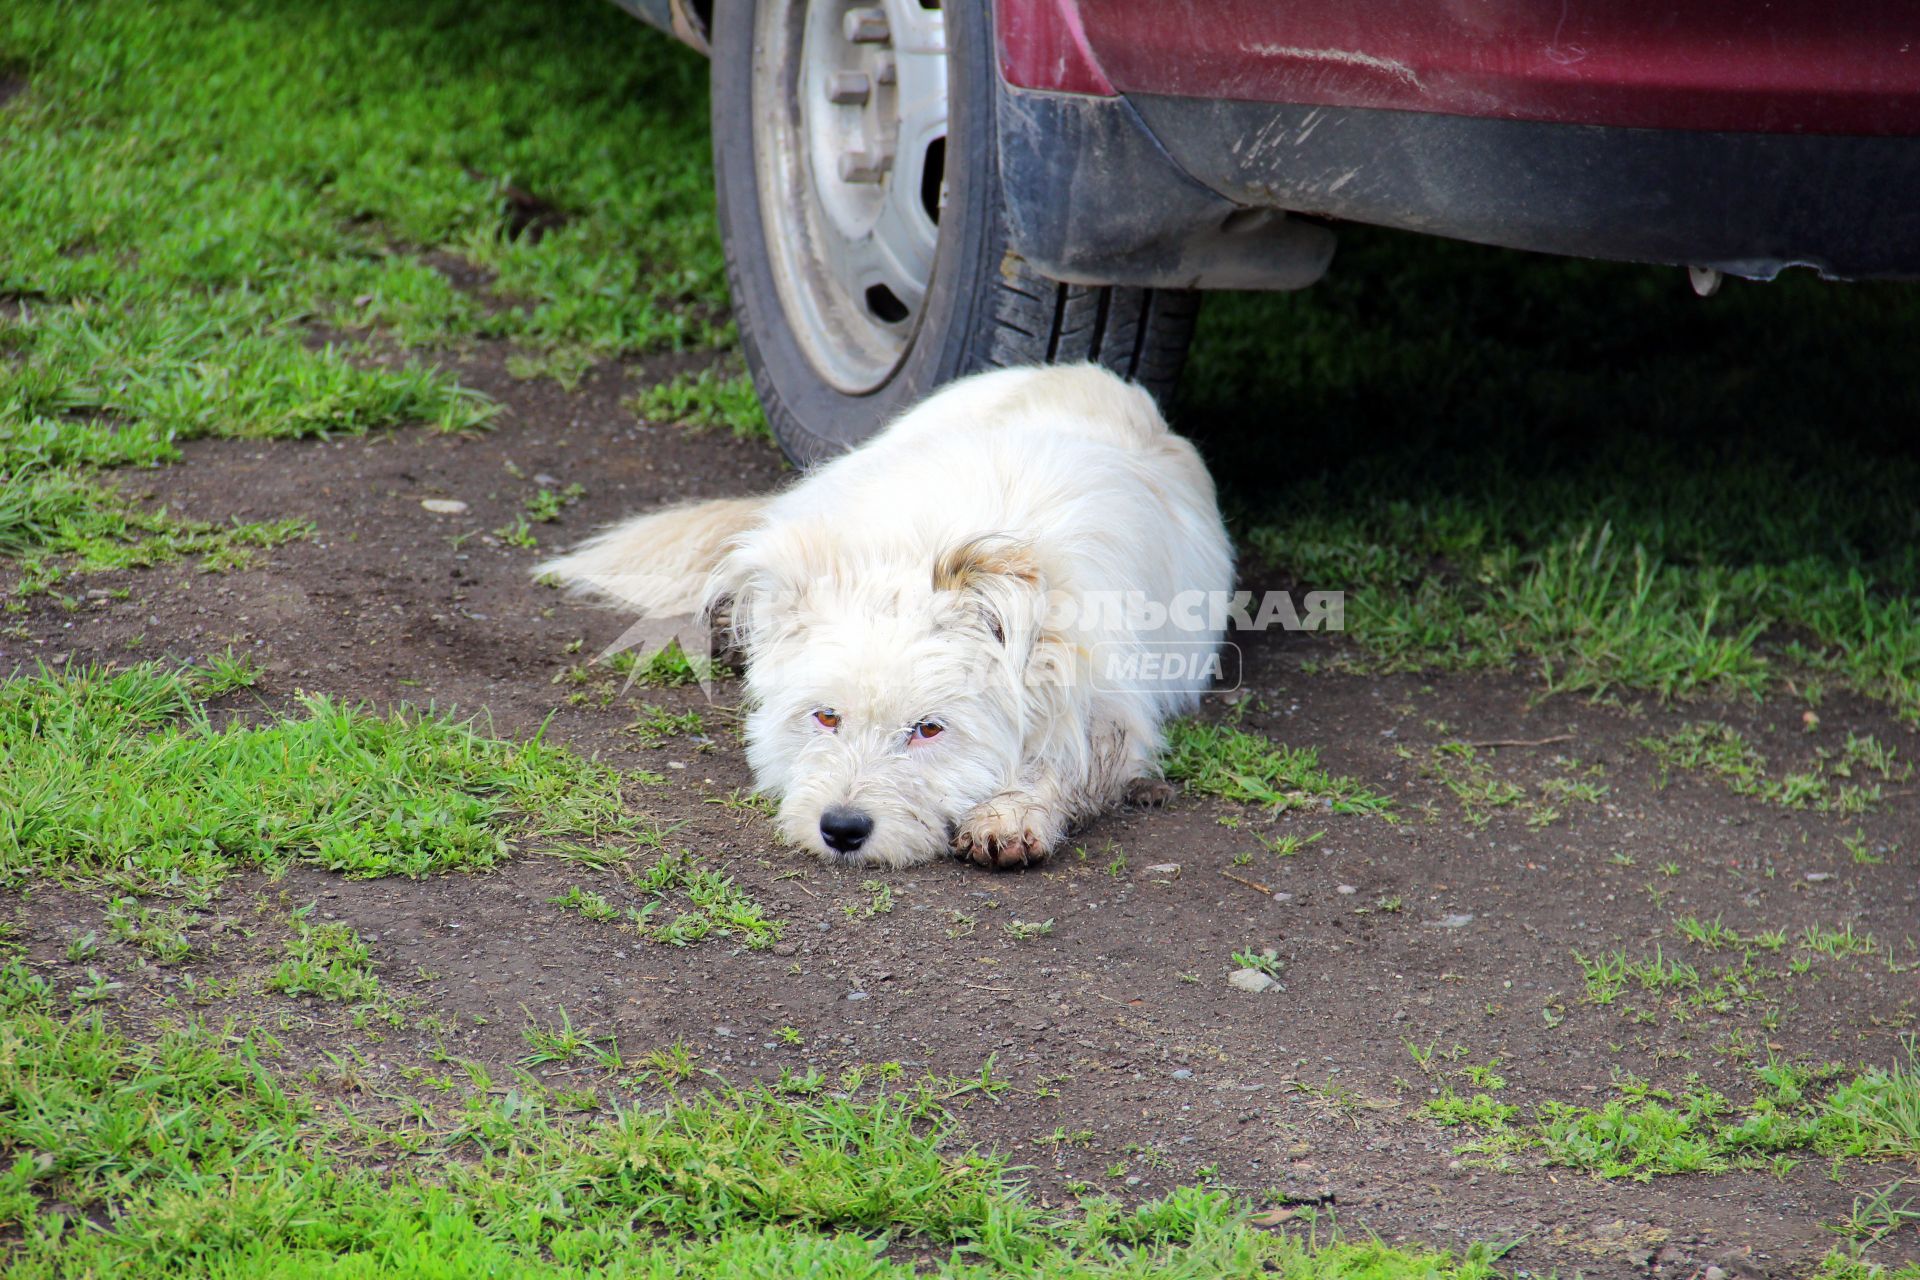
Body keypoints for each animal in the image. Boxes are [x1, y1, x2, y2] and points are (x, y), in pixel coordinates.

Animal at [541, 364, 1228, 875]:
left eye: (928, 730)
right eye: (825, 717)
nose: (842, 829)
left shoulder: (1112, 707)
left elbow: (1073, 761)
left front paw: (1010, 813)